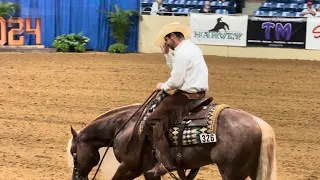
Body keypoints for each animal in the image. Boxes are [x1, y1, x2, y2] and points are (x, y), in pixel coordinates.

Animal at [67, 91, 278, 180]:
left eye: (74, 153)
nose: (76, 178)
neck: (123, 127)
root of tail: (258, 123)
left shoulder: (129, 167)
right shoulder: (148, 172)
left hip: (232, 173)